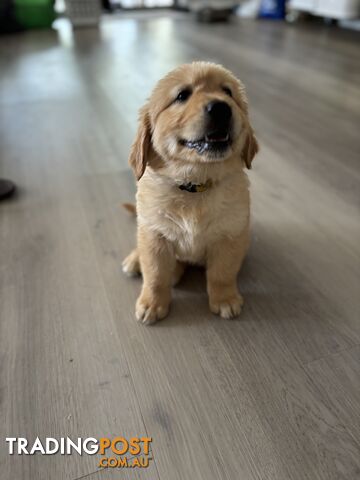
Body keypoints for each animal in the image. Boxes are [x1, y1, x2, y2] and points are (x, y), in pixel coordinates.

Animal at [124, 60, 258, 322]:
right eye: (182, 95)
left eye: (228, 92)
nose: (221, 108)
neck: (195, 186)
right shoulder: (155, 236)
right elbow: (155, 275)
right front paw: (152, 303)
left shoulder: (231, 235)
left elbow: (222, 273)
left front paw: (225, 299)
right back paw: (136, 260)